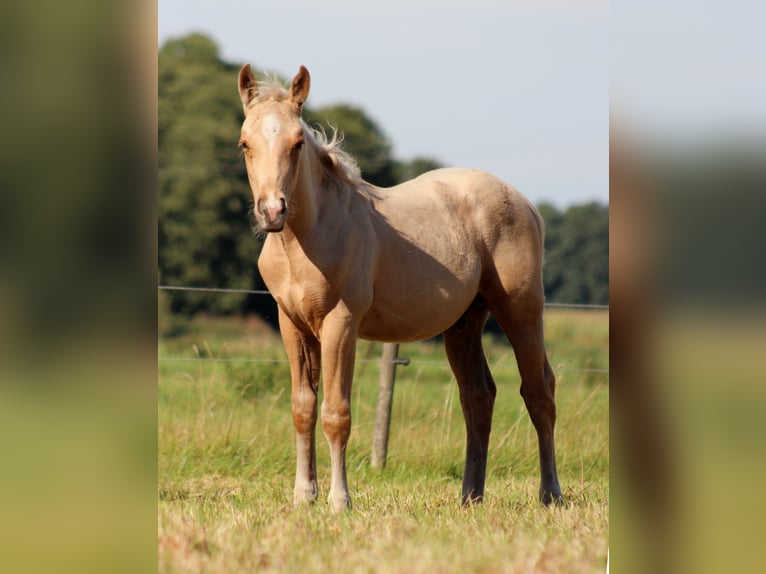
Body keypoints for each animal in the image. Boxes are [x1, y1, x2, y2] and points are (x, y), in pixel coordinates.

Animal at [237, 64, 563, 511]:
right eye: (245, 143)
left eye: (298, 142)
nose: (272, 211)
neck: (309, 237)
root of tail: (525, 202)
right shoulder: (293, 325)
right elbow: (303, 408)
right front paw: (304, 497)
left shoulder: (341, 324)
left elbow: (336, 413)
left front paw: (340, 501)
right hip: (464, 323)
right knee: (478, 397)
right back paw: (470, 496)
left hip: (521, 311)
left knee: (538, 391)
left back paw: (550, 494)